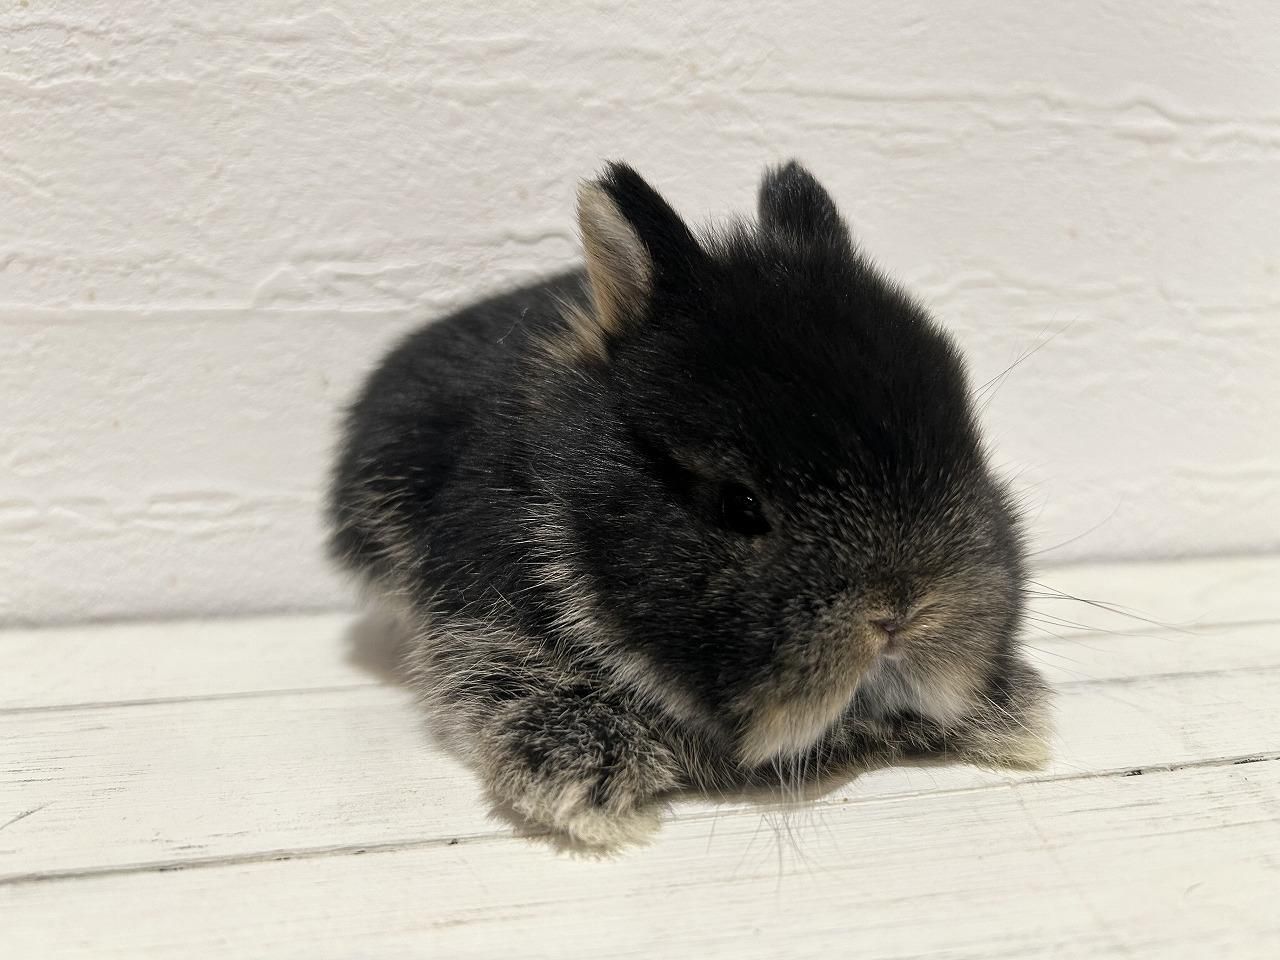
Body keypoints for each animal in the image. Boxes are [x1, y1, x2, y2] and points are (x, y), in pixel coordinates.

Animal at [327, 161, 1052, 849]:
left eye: (970, 450)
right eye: (739, 504)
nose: (902, 613)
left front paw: (1014, 717)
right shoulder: (478, 605)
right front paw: (590, 784)